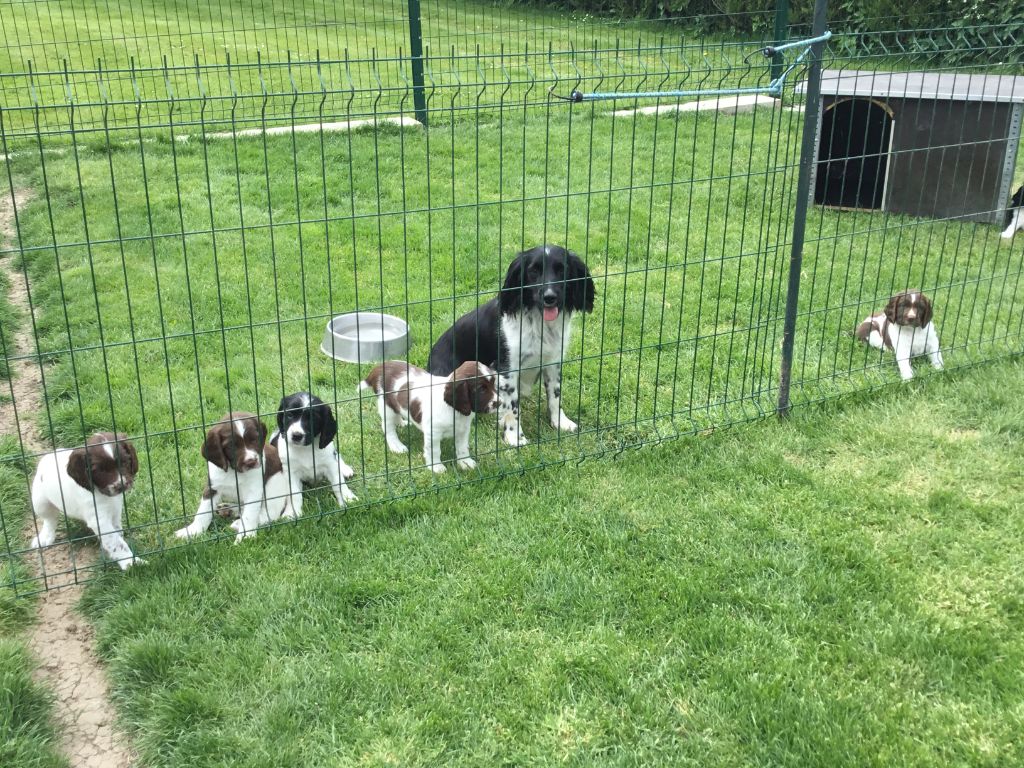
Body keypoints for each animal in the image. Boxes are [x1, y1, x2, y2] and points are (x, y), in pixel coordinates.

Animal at [30, 434, 142, 573]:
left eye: (125, 461)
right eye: (100, 470)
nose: (121, 485)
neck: (102, 494)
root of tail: (49, 456)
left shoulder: (116, 509)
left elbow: (117, 533)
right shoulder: (99, 519)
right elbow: (116, 542)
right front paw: (131, 563)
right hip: (40, 502)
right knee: (49, 519)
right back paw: (45, 537)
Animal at [176, 411, 288, 544]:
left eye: (254, 439)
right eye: (231, 446)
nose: (251, 462)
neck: (233, 471)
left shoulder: (254, 491)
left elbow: (250, 515)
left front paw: (245, 536)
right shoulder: (212, 486)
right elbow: (203, 511)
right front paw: (192, 531)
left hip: (274, 484)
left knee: (270, 514)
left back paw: (238, 523)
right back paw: (229, 510)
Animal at [360, 360, 499, 475]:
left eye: (493, 384)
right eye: (481, 389)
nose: (499, 402)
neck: (453, 410)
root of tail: (379, 368)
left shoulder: (463, 429)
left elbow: (462, 447)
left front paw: (466, 462)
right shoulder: (433, 432)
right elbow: (434, 450)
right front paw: (436, 467)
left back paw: (401, 422)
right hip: (386, 405)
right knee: (388, 427)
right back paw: (396, 446)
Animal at [428, 243, 598, 448]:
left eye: (561, 270)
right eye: (533, 271)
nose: (549, 297)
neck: (539, 324)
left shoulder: (553, 362)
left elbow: (555, 396)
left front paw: (560, 422)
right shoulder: (506, 369)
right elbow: (513, 407)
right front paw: (514, 436)